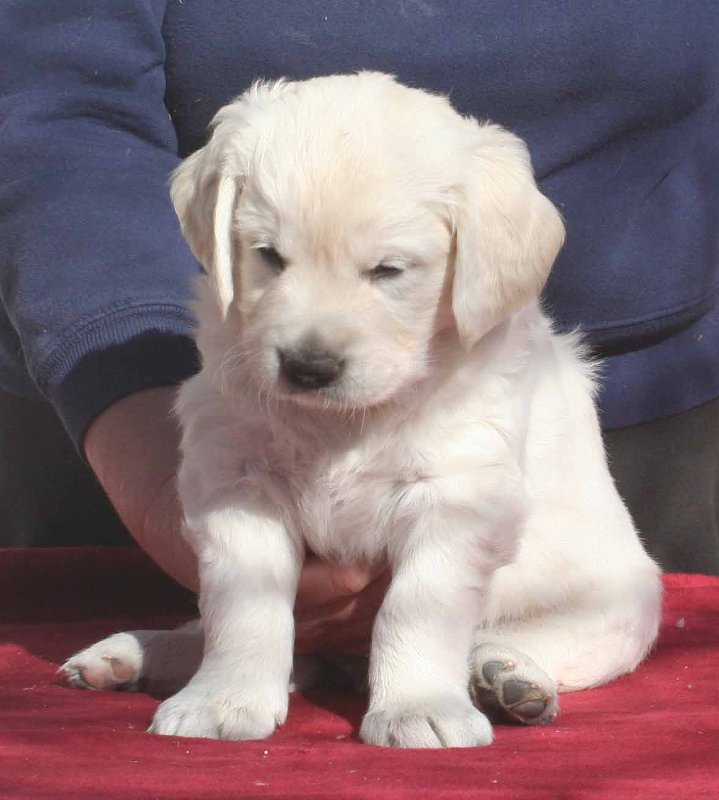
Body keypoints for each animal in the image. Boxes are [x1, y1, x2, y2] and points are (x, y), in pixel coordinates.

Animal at [64, 73, 660, 752]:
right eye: (269, 255)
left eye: (388, 270)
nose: (307, 367)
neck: (343, 424)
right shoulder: (238, 479)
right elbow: (243, 608)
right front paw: (223, 700)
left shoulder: (457, 495)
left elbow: (415, 608)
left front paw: (417, 707)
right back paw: (129, 657)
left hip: (618, 604)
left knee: (523, 639)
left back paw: (506, 678)